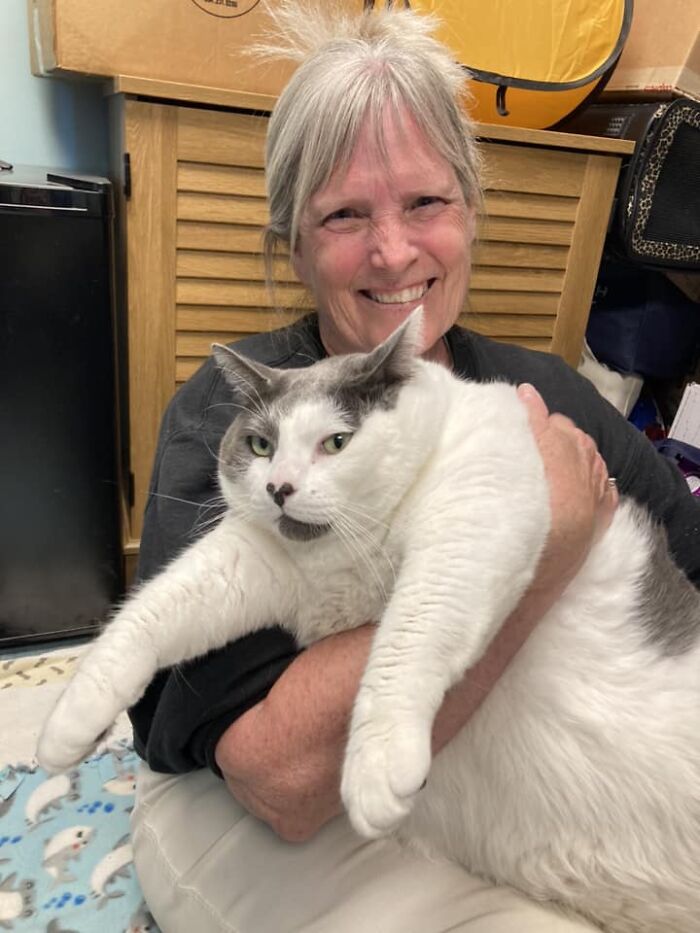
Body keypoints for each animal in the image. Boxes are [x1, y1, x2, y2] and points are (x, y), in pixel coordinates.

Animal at [38, 314, 700, 932]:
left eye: (336, 442)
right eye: (260, 445)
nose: (279, 488)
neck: (353, 552)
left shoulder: (475, 515)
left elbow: (412, 631)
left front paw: (377, 766)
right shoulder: (247, 562)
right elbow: (154, 609)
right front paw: (70, 725)